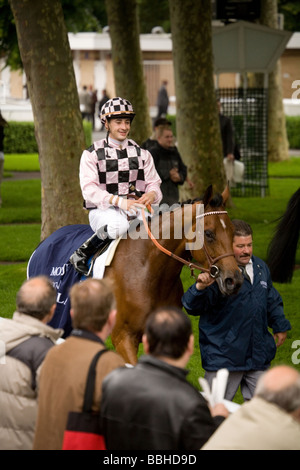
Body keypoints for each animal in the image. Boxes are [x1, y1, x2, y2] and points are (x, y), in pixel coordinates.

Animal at [27, 184, 244, 364]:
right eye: (209, 233)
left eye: (233, 232)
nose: (234, 280)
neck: (147, 271)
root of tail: (45, 241)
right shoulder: (122, 336)